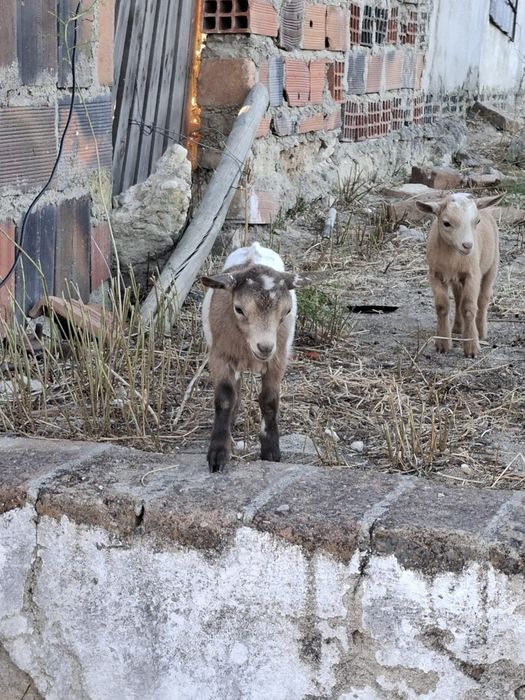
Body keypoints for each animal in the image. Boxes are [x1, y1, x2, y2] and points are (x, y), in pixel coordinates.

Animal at [201, 242, 316, 473]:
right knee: (235, 391)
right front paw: (218, 455)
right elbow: (225, 397)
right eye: (239, 309)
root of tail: (255, 246)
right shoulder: (220, 356)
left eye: (287, 310)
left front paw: (271, 451)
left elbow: (269, 400)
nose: (264, 347)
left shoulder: (278, 358)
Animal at [417, 193, 503, 358]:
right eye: (446, 223)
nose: (468, 245)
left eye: (477, 221)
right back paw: (457, 328)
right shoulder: (435, 274)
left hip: (492, 264)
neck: (453, 256)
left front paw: (472, 347)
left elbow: (469, 307)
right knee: (458, 298)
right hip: (456, 278)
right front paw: (442, 343)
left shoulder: (473, 274)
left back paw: (481, 332)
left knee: (483, 298)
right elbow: (442, 306)